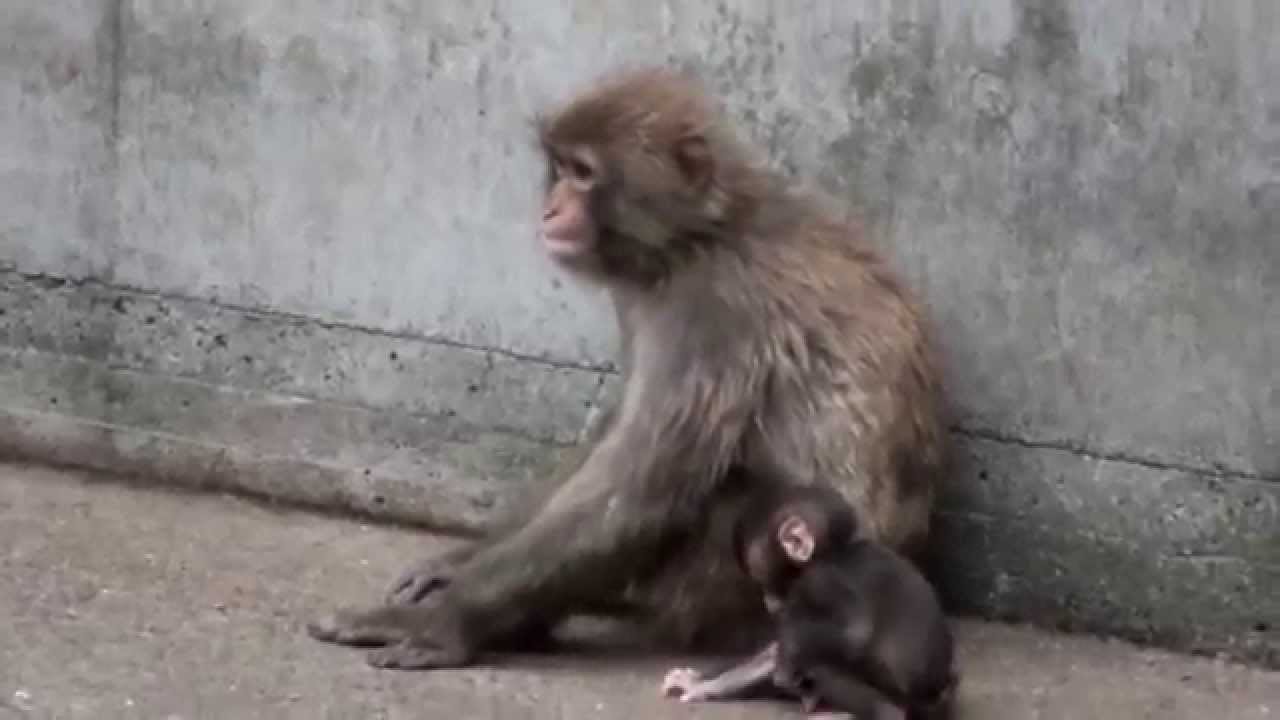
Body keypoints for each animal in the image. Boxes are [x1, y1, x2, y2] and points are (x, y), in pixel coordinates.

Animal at [307, 66, 946, 672]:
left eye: (584, 173)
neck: (700, 235)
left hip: (743, 598)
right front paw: (460, 561)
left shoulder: (713, 310)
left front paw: (449, 617)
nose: (551, 207)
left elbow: (641, 487)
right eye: (560, 167)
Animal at [661, 484, 958, 720]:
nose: (767, 600)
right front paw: (700, 681)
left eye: (760, 576)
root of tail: (944, 692)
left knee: (823, 662)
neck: (835, 551)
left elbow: (853, 633)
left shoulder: (820, 580)